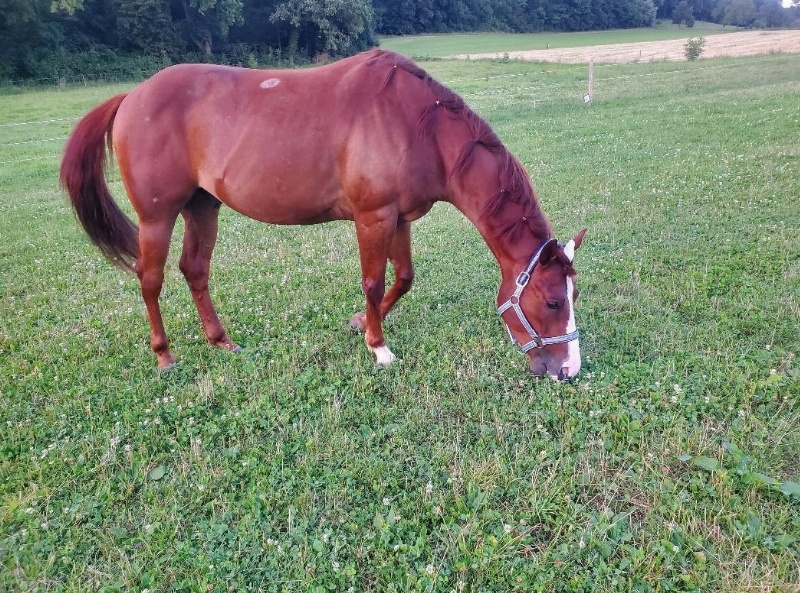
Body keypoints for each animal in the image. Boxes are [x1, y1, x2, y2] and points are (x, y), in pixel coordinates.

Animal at [60, 48, 586, 380]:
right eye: (552, 302)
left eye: (573, 295)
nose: (569, 370)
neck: (418, 123)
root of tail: (132, 96)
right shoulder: (373, 217)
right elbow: (374, 281)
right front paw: (378, 347)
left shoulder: (400, 218)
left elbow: (403, 278)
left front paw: (359, 324)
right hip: (158, 217)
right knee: (150, 279)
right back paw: (165, 356)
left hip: (201, 206)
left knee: (195, 270)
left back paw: (221, 341)